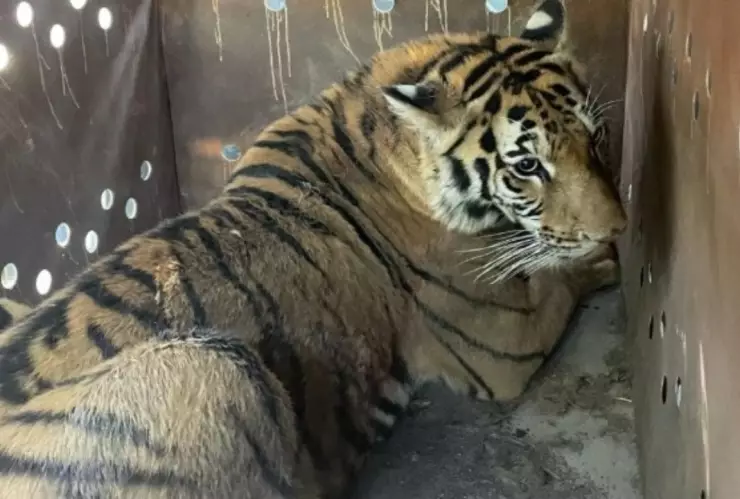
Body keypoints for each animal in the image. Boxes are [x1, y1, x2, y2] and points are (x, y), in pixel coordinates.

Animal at [0, 0, 627, 497]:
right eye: (527, 166)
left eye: (594, 137)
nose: (619, 228)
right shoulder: (505, 343)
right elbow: (561, 277)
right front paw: (603, 262)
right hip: (211, 363)